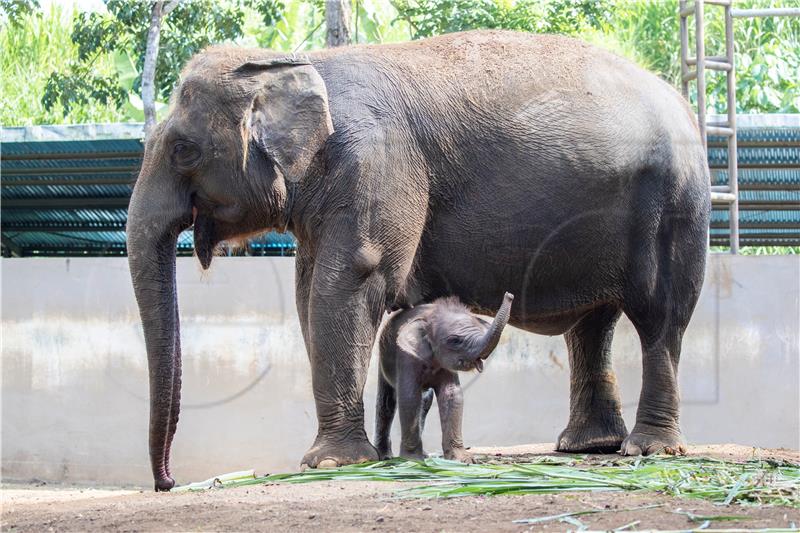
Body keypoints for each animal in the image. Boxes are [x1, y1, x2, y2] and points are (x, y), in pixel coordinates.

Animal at [374, 290, 512, 462]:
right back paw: (385, 457)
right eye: (455, 340)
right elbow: (409, 396)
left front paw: (462, 460)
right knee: (387, 403)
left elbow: (452, 395)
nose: (509, 295)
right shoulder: (406, 358)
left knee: (425, 401)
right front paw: (412, 461)